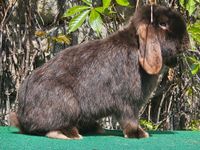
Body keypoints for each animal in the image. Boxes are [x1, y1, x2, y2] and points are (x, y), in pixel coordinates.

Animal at [10, 5, 189, 139]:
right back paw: (70, 134)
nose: (187, 41)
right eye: (163, 24)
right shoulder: (127, 102)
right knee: (50, 127)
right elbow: (130, 119)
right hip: (67, 103)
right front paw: (139, 134)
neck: (137, 48)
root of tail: (23, 116)